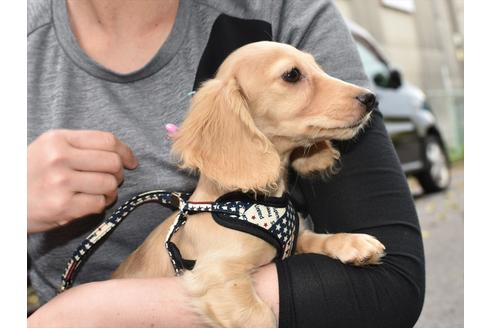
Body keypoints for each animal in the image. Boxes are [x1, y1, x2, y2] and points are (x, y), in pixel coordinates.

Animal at [113, 41, 386, 328]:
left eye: (317, 66)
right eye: (292, 75)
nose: (370, 98)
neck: (257, 202)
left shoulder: (294, 240)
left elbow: (313, 238)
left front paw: (352, 243)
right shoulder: (217, 274)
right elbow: (260, 318)